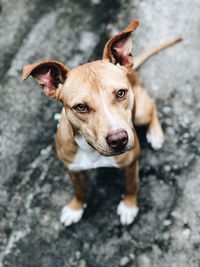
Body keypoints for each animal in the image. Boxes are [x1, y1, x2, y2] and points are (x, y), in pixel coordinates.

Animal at [22, 19, 181, 227]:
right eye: (81, 107)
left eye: (120, 93)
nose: (119, 140)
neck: (92, 151)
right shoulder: (73, 170)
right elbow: (80, 191)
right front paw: (75, 208)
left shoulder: (130, 165)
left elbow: (131, 186)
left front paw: (129, 206)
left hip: (141, 112)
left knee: (153, 106)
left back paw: (155, 135)